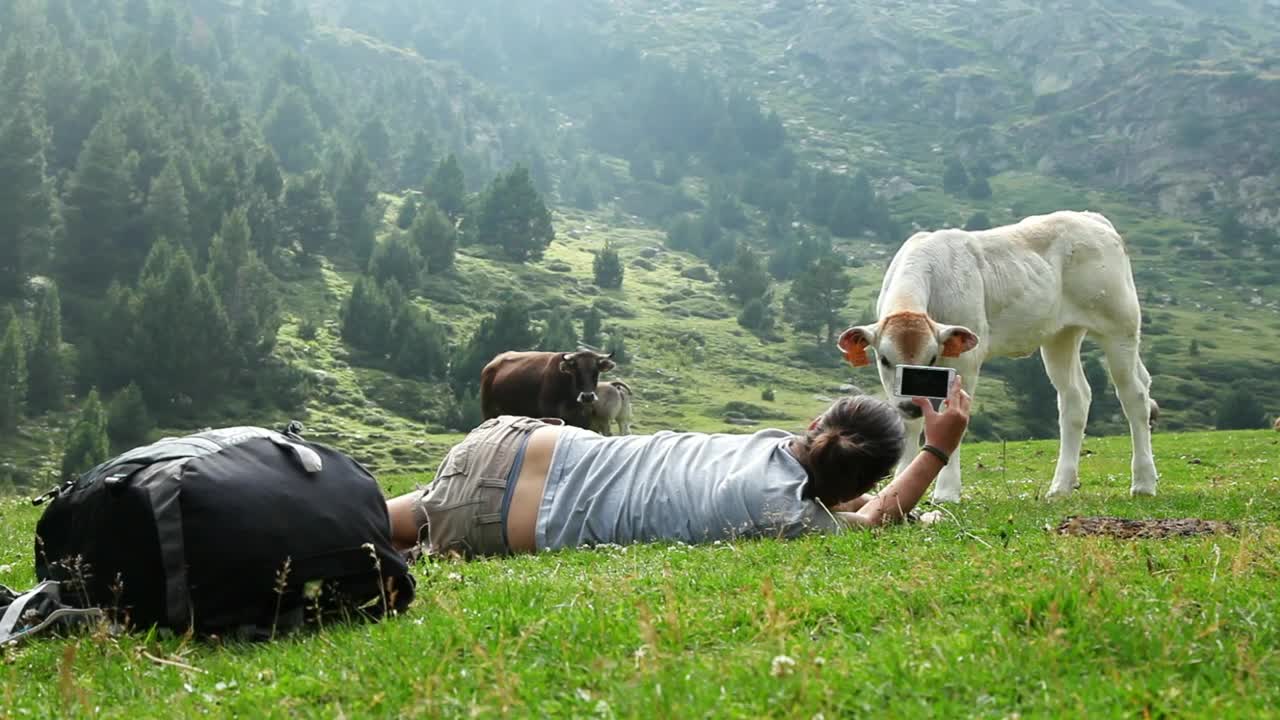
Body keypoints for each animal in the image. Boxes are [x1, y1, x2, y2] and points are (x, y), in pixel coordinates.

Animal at [479, 350, 616, 429]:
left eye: (595, 372)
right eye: (576, 371)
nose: (587, 396)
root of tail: (491, 365)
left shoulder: (582, 419)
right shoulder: (550, 413)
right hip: (489, 411)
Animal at [837, 210, 1159, 503]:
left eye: (932, 358)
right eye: (884, 359)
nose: (911, 405)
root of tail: (1091, 219)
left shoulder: (965, 361)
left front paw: (946, 492)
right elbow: (910, 426)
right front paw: (900, 481)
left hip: (1119, 325)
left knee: (1134, 395)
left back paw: (1143, 482)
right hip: (1061, 335)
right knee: (1075, 398)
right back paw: (1061, 487)